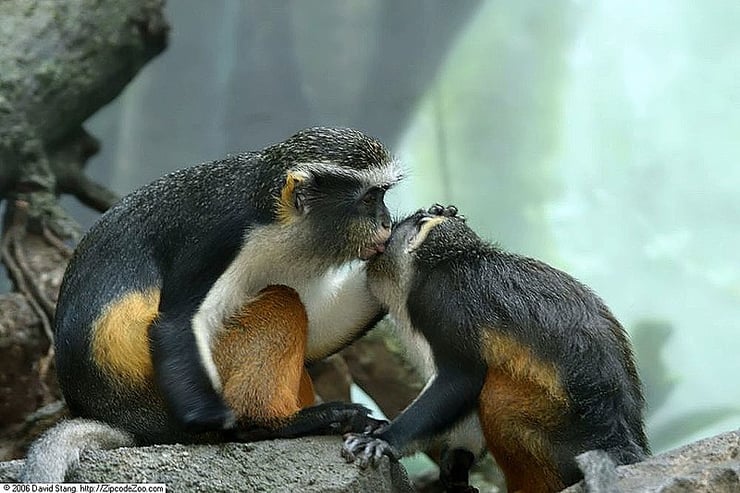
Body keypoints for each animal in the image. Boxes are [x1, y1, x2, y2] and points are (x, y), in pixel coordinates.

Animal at [21, 127, 400, 481]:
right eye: (370, 199)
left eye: (381, 196)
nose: (387, 222)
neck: (275, 216)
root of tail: (133, 423)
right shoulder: (220, 237)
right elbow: (176, 323)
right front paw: (223, 421)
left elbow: (320, 332)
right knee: (283, 301)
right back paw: (277, 423)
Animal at [343, 205, 649, 493]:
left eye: (393, 230)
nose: (376, 245)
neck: (446, 261)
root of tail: (618, 442)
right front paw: (457, 461)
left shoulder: (442, 302)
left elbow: (461, 379)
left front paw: (384, 440)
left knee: (494, 391)